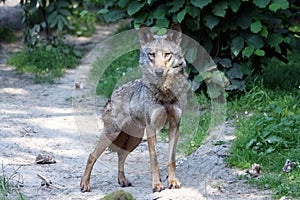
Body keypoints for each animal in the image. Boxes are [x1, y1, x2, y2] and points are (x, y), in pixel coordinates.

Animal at [79, 23, 188, 192]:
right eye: (151, 55)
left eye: (167, 54)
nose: (159, 71)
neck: (165, 91)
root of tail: (113, 93)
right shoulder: (151, 128)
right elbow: (154, 160)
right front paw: (157, 185)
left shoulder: (175, 126)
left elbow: (172, 159)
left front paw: (173, 181)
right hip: (112, 134)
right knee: (92, 155)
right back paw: (85, 184)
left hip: (134, 139)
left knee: (121, 155)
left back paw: (122, 180)